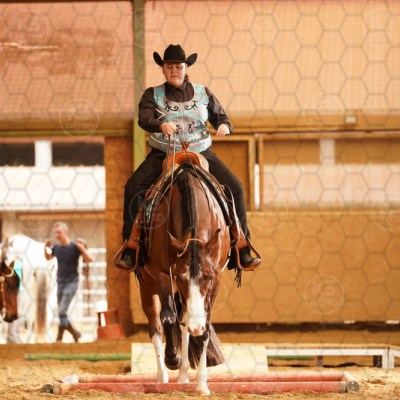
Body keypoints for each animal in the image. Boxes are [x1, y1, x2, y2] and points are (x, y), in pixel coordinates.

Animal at [137, 153, 231, 395]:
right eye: (180, 277)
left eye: (208, 276)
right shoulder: (164, 275)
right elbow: (168, 318)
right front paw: (172, 359)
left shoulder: (216, 278)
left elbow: (203, 324)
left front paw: (202, 384)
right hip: (147, 285)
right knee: (156, 324)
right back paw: (163, 375)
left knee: (184, 321)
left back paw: (183, 374)